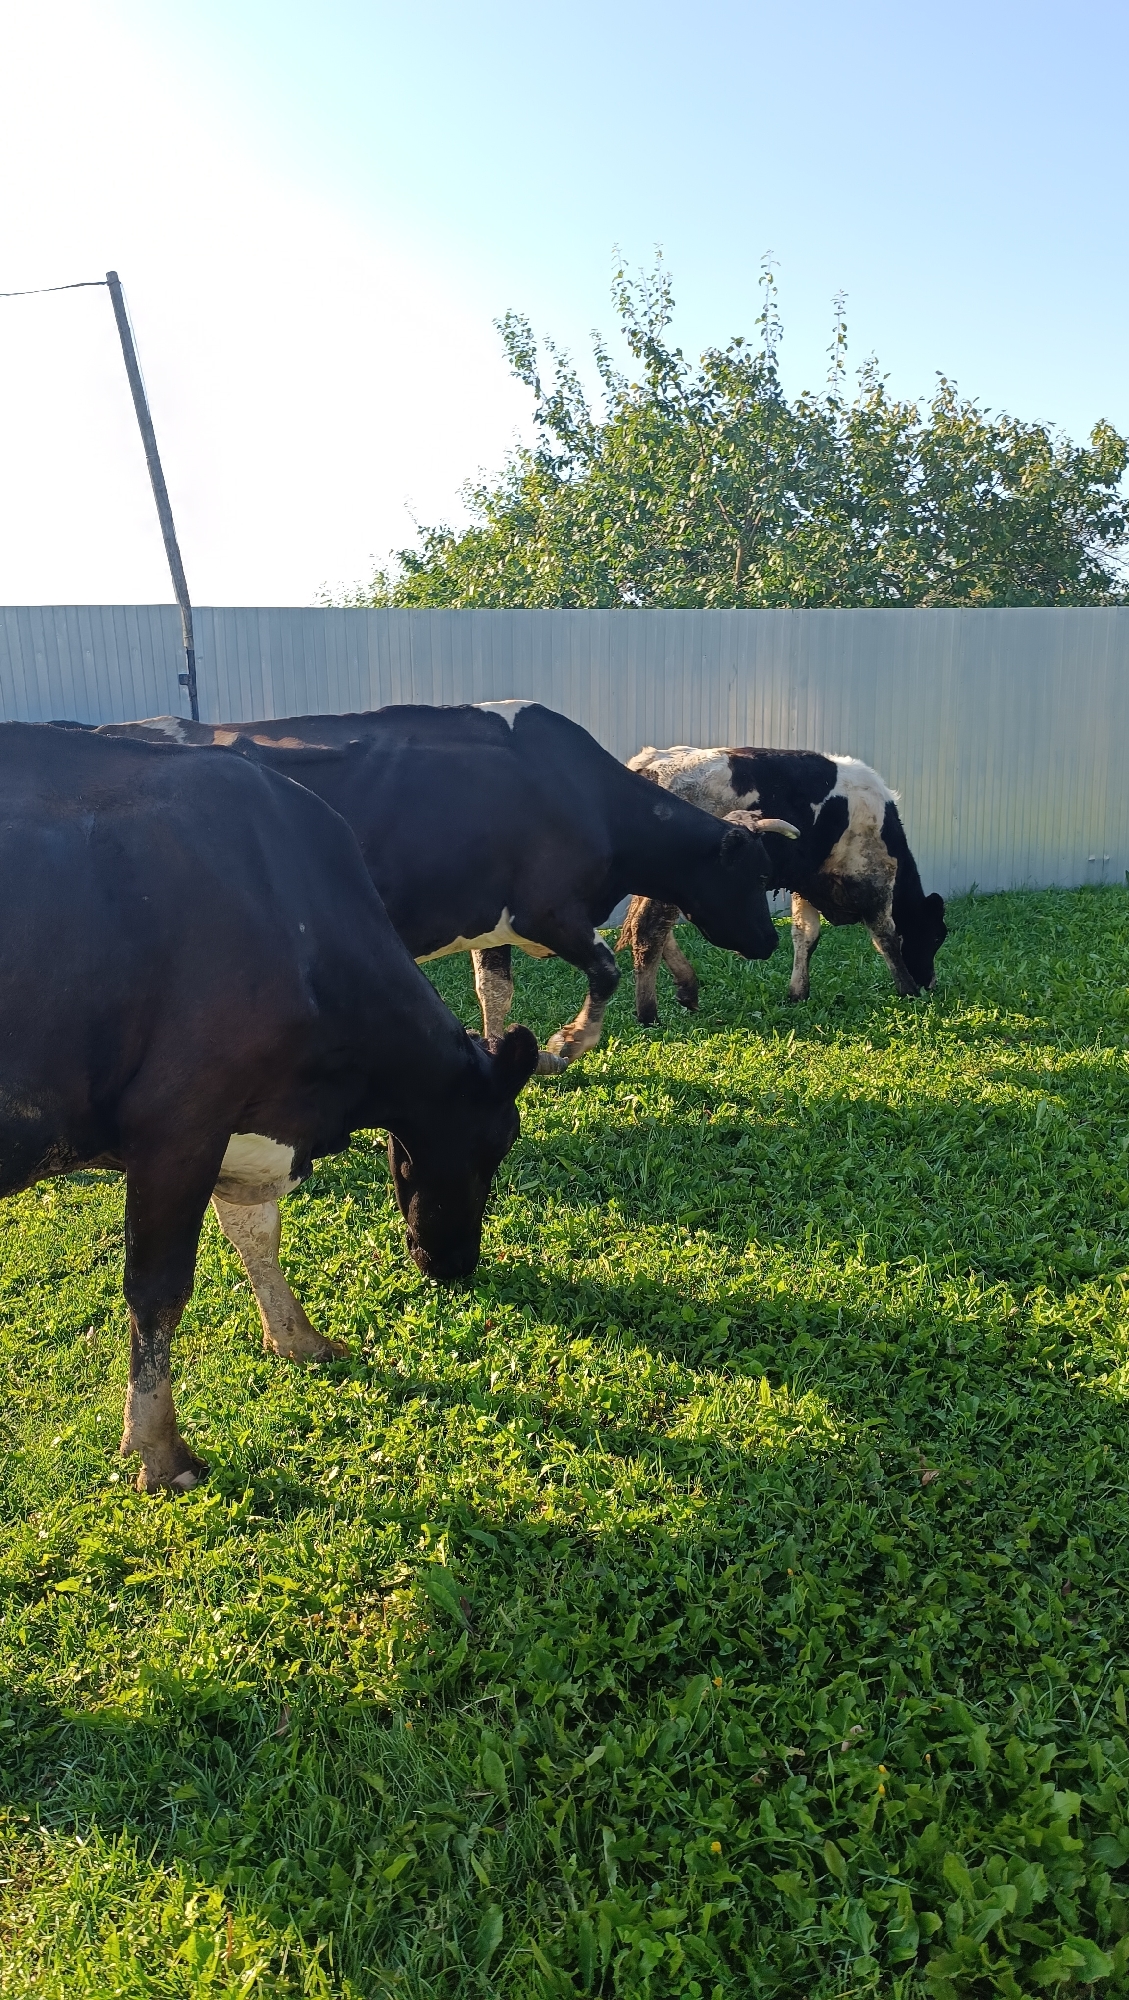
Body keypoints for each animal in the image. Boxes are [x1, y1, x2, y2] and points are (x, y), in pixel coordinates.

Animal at [0, 724, 538, 1492]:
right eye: (496, 1144)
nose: (458, 1263)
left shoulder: (246, 1126)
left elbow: (256, 1236)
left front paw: (298, 1337)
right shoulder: (180, 1123)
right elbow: (157, 1289)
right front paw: (159, 1451)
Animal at [93, 702, 782, 1068]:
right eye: (754, 876)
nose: (770, 942)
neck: (588, 798)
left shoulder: (492, 919)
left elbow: (494, 991)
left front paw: (508, 1053)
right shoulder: (547, 909)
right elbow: (605, 970)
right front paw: (565, 1044)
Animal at [619, 746, 947, 1017]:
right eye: (936, 936)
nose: (929, 983)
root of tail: (650, 761)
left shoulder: (806, 883)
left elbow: (805, 935)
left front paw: (797, 993)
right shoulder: (872, 880)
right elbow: (885, 937)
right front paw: (907, 989)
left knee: (647, 928)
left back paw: (687, 990)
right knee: (649, 929)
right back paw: (649, 1014)